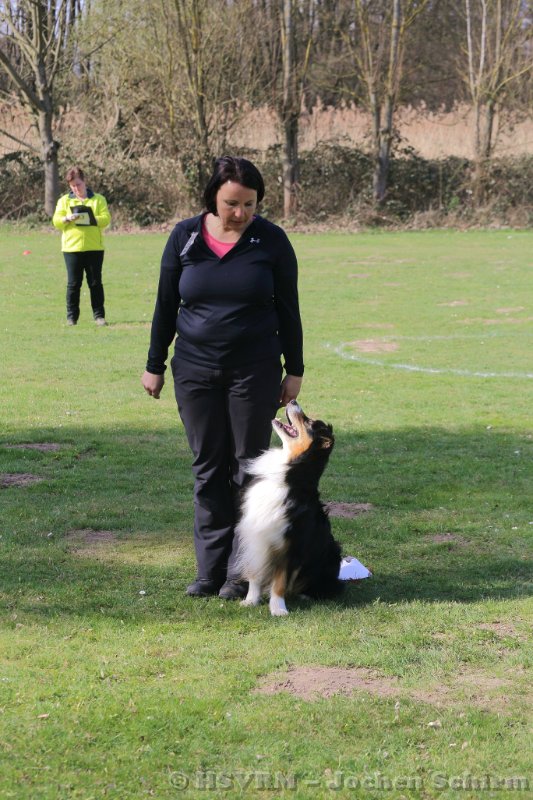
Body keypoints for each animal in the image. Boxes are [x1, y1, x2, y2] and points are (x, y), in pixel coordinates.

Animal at [235, 399, 343, 616]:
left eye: (309, 422)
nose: (293, 400)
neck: (289, 477)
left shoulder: (289, 544)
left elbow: (280, 580)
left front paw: (278, 609)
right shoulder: (256, 536)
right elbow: (255, 574)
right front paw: (251, 600)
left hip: (332, 555)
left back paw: (306, 595)